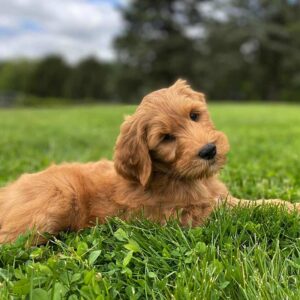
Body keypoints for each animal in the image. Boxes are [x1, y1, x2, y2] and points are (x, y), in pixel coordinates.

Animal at [0, 79, 298, 244]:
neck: (176, 175)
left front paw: (287, 204)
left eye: (194, 115)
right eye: (166, 138)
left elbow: (256, 202)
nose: (209, 151)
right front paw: (289, 209)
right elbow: (246, 209)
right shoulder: (186, 217)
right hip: (56, 201)